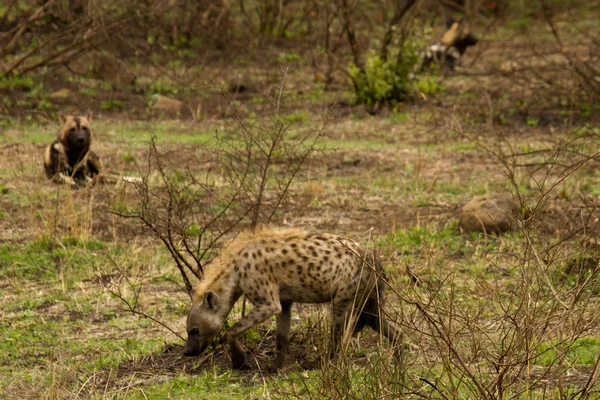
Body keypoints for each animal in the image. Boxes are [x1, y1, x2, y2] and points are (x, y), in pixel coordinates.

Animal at [183, 227, 398, 370]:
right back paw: (398, 362)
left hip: (345, 296)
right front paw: (274, 367)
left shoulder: (268, 301)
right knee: (391, 329)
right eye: (189, 330)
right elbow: (281, 336)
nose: (186, 351)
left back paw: (317, 363)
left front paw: (239, 361)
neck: (236, 268)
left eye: (195, 330)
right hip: (368, 302)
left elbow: (232, 330)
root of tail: (373, 259)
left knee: (337, 335)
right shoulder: (284, 302)